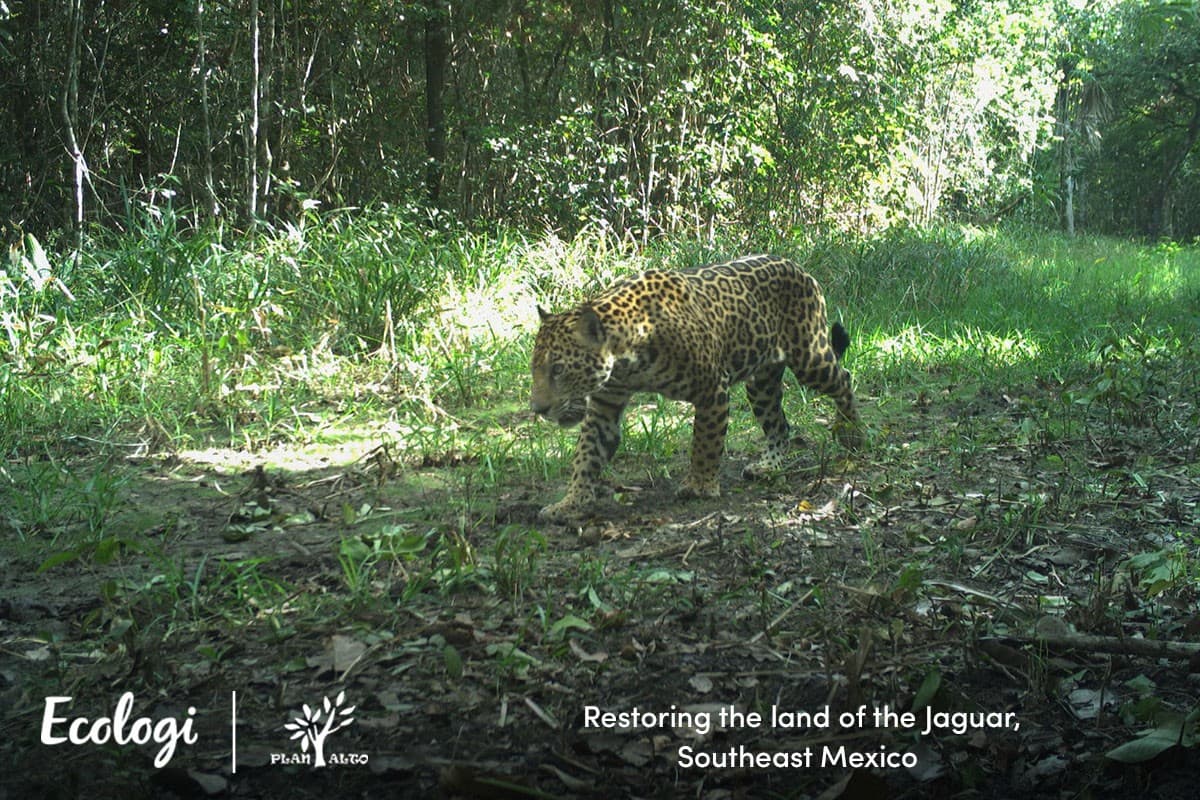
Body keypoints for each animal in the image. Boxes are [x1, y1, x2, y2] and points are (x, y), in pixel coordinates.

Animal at [530, 254, 863, 522]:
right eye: (536, 369)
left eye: (558, 369)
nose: (538, 409)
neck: (626, 357)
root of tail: (798, 267)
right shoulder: (604, 406)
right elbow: (586, 456)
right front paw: (570, 503)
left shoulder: (712, 388)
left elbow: (705, 442)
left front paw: (700, 485)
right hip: (761, 385)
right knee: (779, 425)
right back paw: (768, 467)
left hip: (810, 358)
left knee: (844, 378)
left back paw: (851, 434)